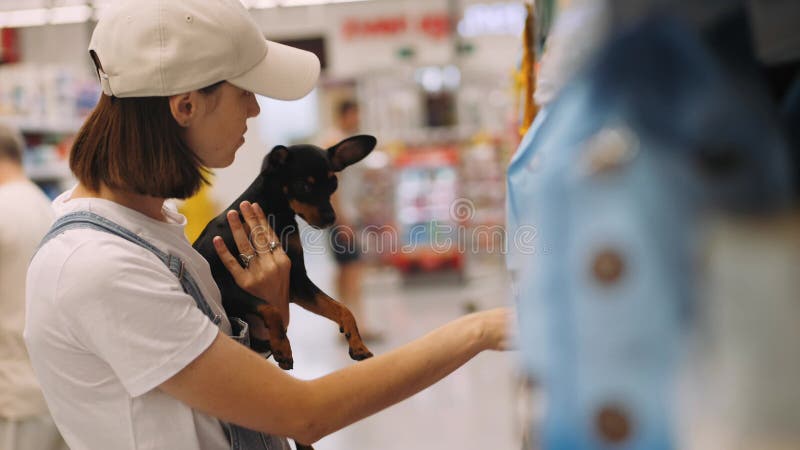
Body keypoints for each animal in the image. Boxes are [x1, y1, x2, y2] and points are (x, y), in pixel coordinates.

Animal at [195, 136, 380, 372]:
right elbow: (270, 308)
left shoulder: (297, 283)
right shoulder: (222, 282)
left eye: (333, 184)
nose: (331, 218)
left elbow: (342, 308)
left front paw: (357, 344)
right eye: (303, 186)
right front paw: (283, 347)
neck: (274, 214)